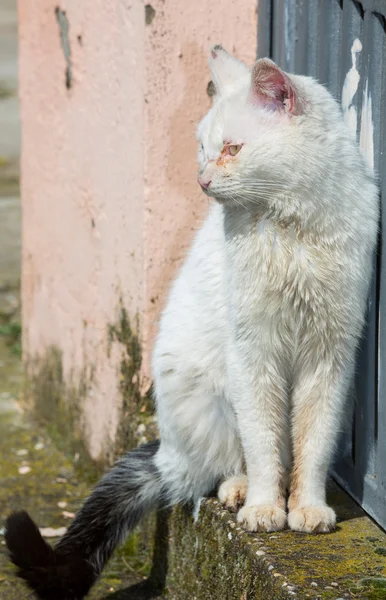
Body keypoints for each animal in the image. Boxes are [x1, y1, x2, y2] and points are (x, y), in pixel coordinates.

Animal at [6, 47, 378, 600]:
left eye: (232, 148)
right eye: (202, 149)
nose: (201, 180)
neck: (289, 228)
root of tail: (170, 452)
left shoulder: (329, 356)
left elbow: (313, 444)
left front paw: (308, 508)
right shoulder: (252, 352)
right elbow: (263, 444)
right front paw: (265, 508)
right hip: (207, 394)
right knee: (222, 466)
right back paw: (240, 491)